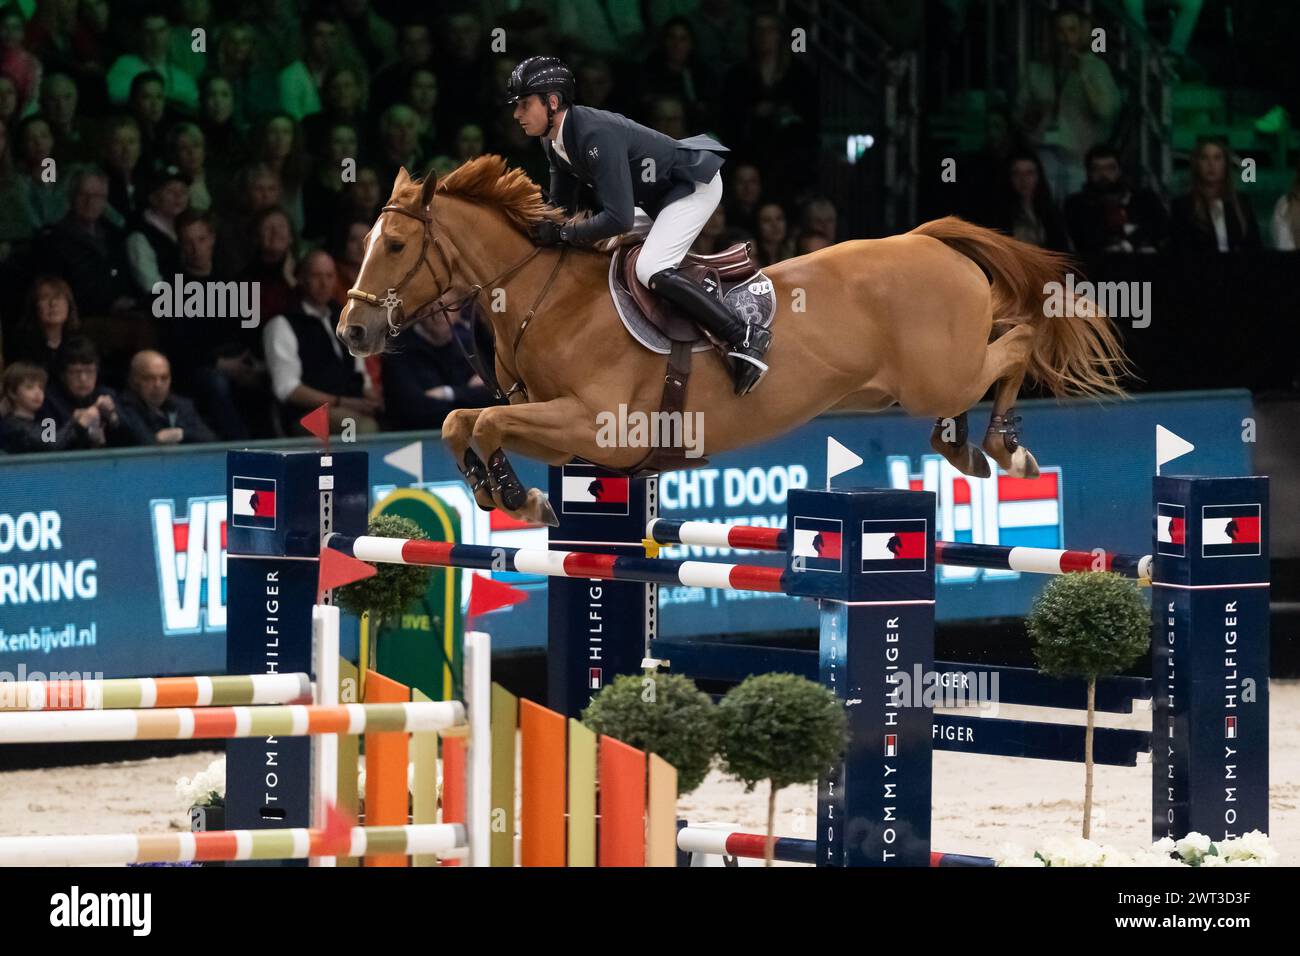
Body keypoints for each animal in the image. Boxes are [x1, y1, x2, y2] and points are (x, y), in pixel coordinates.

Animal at [338, 159, 1128, 528]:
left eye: (397, 245)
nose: (352, 331)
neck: (548, 298)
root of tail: (927, 237)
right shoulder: (567, 434)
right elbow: (461, 420)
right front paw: (501, 492)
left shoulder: (601, 428)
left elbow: (484, 420)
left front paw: (516, 498)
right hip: (925, 380)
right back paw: (962, 447)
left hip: (942, 371)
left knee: (1018, 340)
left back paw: (1004, 446)